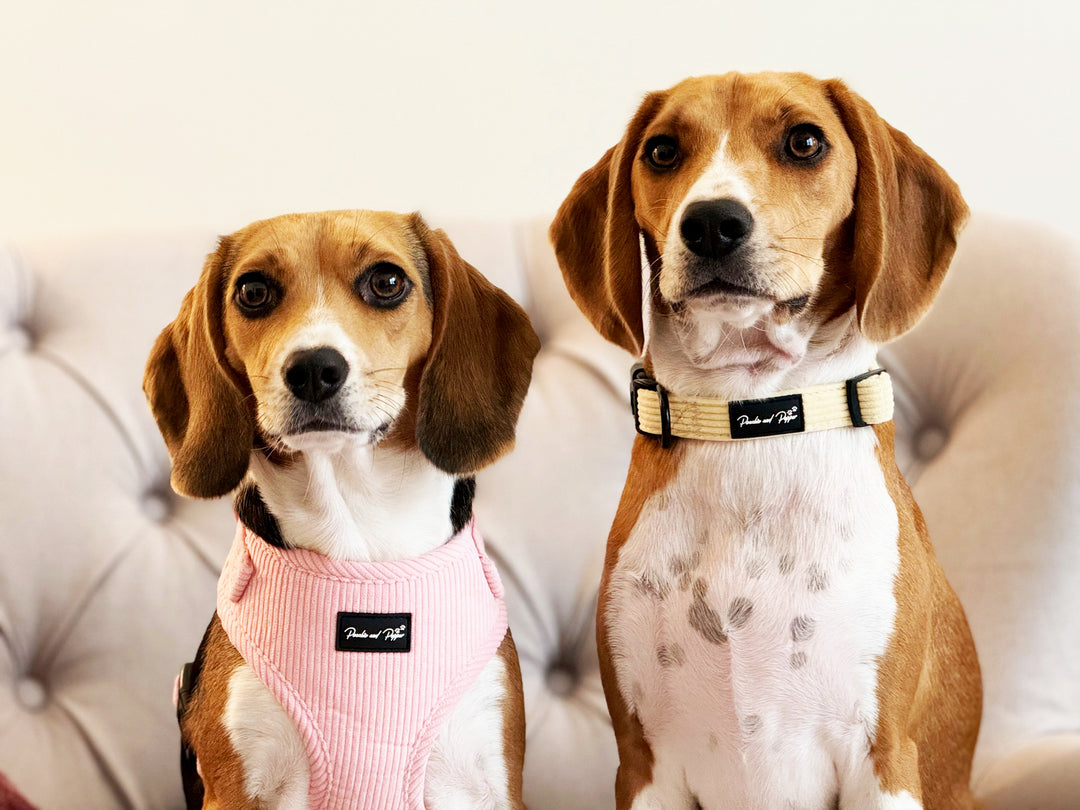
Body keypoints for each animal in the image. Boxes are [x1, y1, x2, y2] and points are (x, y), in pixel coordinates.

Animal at [143, 210, 540, 810]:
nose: (312, 369)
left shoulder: (482, 783)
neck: (360, 529)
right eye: (253, 292)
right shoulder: (238, 789)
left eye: (387, 281)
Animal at [552, 72, 984, 807]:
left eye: (805, 142)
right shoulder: (643, 765)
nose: (711, 222)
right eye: (662, 151)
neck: (749, 415)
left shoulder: (883, 759)